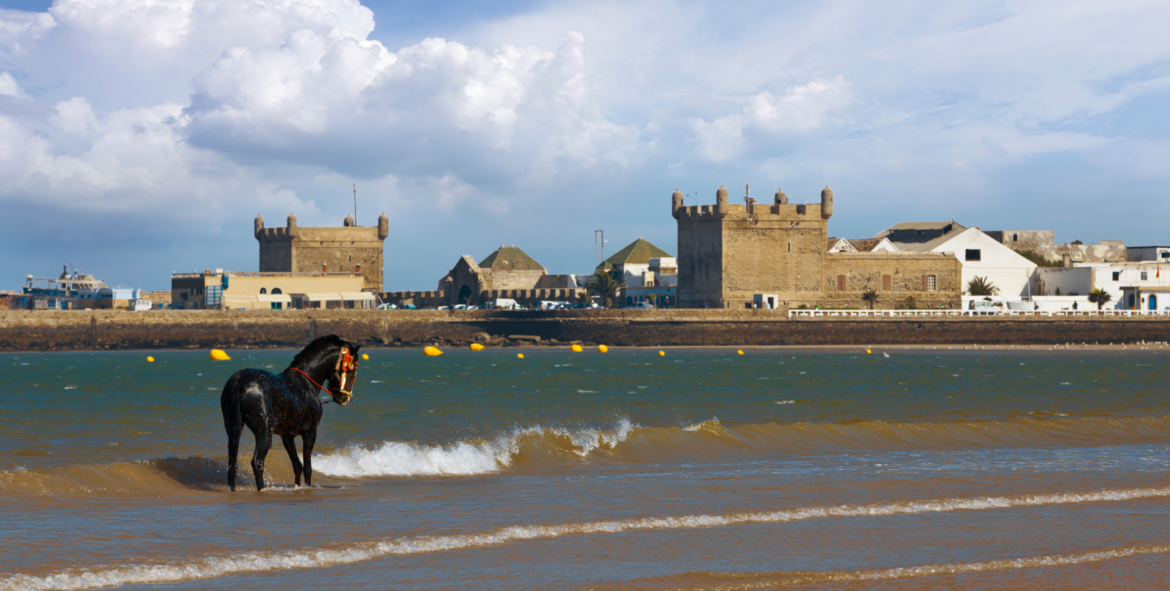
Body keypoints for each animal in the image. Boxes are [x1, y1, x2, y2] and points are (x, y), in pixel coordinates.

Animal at [219, 334, 360, 491]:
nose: (345, 398)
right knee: (257, 463)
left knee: (232, 463)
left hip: (233, 429)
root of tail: (240, 381)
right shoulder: (310, 433)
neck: (306, 382)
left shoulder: (287, 436)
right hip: (263, 432)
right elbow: (307, 468)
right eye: (352, 367)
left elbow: (297, 466)